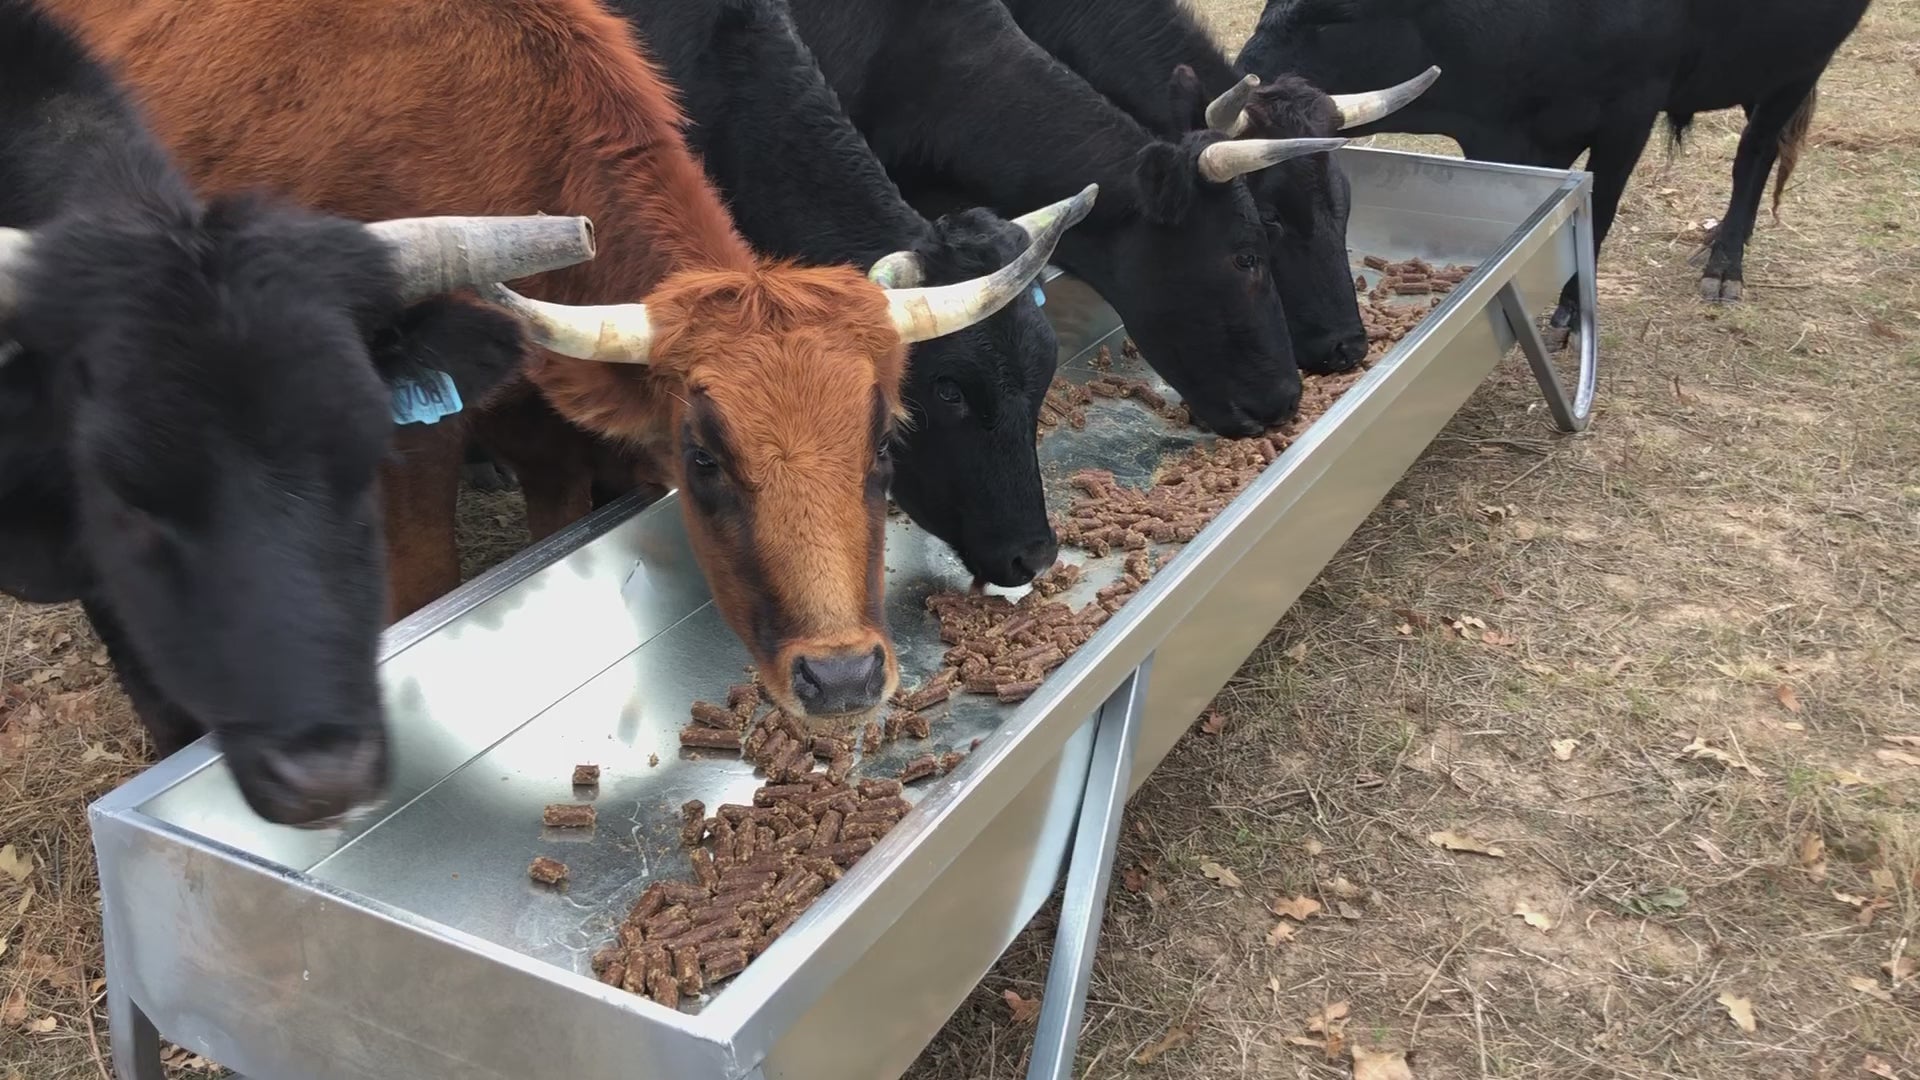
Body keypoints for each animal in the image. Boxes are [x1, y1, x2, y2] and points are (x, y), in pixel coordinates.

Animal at [1239, 0, 1873, 334]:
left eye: (1331, 19)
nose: (1242, 82)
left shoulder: (1631, 110)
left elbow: (1599, 206)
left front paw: (1571, 307)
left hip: (1798, 65)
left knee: (1754, 155)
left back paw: (1725, 264)